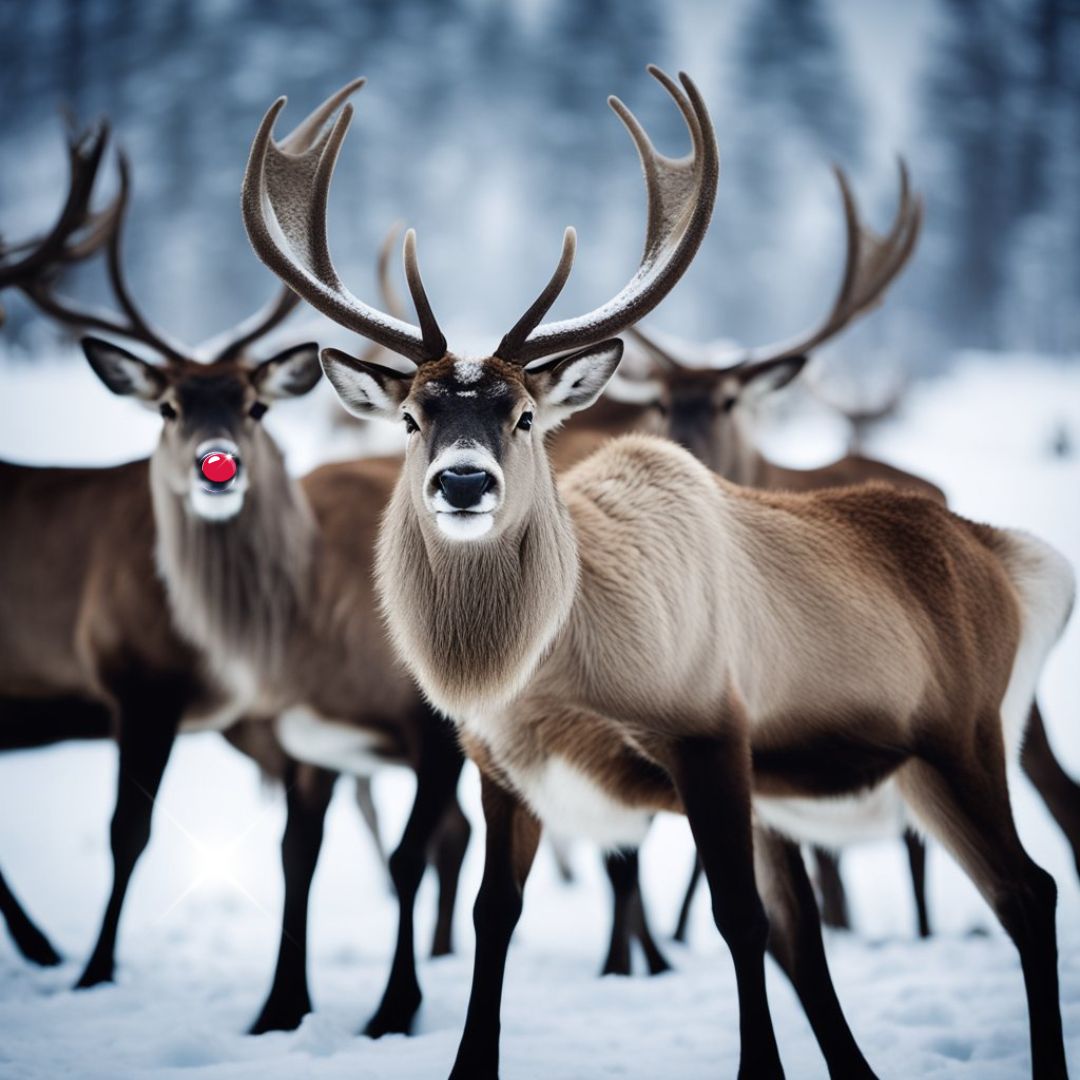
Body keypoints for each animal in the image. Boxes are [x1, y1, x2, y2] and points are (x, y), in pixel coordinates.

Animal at [3, 117, 469, 1038]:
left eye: (256, 406)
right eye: (167, 407)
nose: (217, 467)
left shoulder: (147, 682)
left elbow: (130, 834)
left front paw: (392, 1010)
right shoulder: (276, 732)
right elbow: (294, 856)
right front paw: (281, 1007)